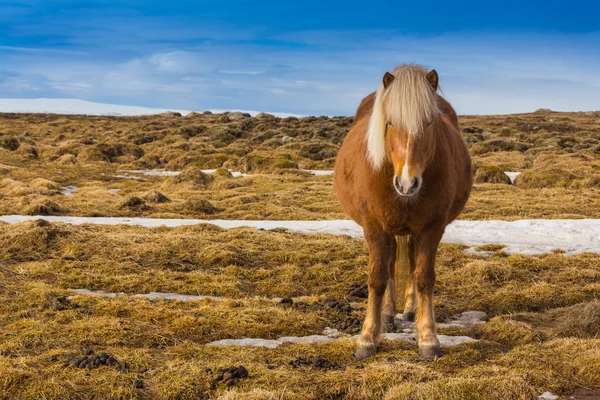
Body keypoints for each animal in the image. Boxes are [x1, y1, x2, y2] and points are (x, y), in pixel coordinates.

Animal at [336, 63, 472, 360]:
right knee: (388, 266)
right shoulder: (375, 228)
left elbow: (423, 278)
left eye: (429, 123)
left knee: (409, 262)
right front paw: (367, 338)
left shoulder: (432, 228)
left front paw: (428, 338)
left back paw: (409, 311)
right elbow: (377, 279)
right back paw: (388, 315)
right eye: (389, 123)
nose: (407, 183)